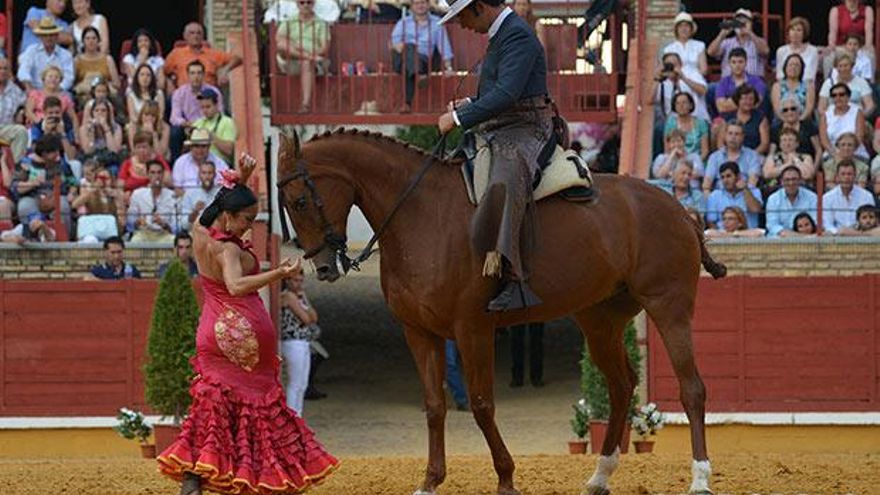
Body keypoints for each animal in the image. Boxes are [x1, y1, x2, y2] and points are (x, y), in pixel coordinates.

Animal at [276, 128, 725, 495]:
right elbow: (435, 406)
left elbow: (481, 404)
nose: (324, 268)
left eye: (300, 200)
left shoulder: (472, 329)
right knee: (620, 385)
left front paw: (506, 477)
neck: (421, 214)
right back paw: (600, 476)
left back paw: (700, 477)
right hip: (601, 320)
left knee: (692, 388)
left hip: (669, 308)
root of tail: (677, 208)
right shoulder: (419, 332)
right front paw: (430, 481)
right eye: (287, 203)